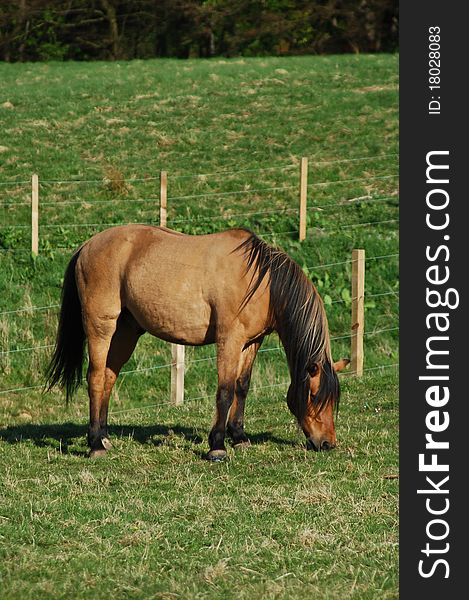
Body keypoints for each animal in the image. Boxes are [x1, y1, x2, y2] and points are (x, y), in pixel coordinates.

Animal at [46, 225, 348, 460]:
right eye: (313, 395)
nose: (327, 442)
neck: (263, 282)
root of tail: (87, 246)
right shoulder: (229, 339)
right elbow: (225, 391)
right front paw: (217, 446)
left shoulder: (252, 342)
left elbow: (242, 387)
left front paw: (239, 437)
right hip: (101, 327)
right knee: (96, 378)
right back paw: (95, 444)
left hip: (125, 333)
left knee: (109, 378)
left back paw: (105, 436)